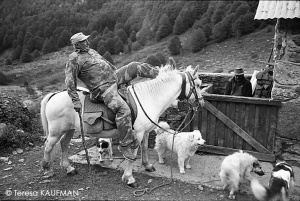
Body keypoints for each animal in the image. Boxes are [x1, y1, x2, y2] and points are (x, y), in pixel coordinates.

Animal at [40, 64, 204, 187]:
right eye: (198, 84)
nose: (200, 103)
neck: (149, 98)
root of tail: (54, 95)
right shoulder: (136, 133)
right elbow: (133, 153)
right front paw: (129, 178)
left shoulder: (145, 132)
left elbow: (144, 148)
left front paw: (147, 166)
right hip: (56, 131)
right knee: (48, 146)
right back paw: (47, 170)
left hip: (69, 129)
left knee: (64, 144)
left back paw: (69, 168)